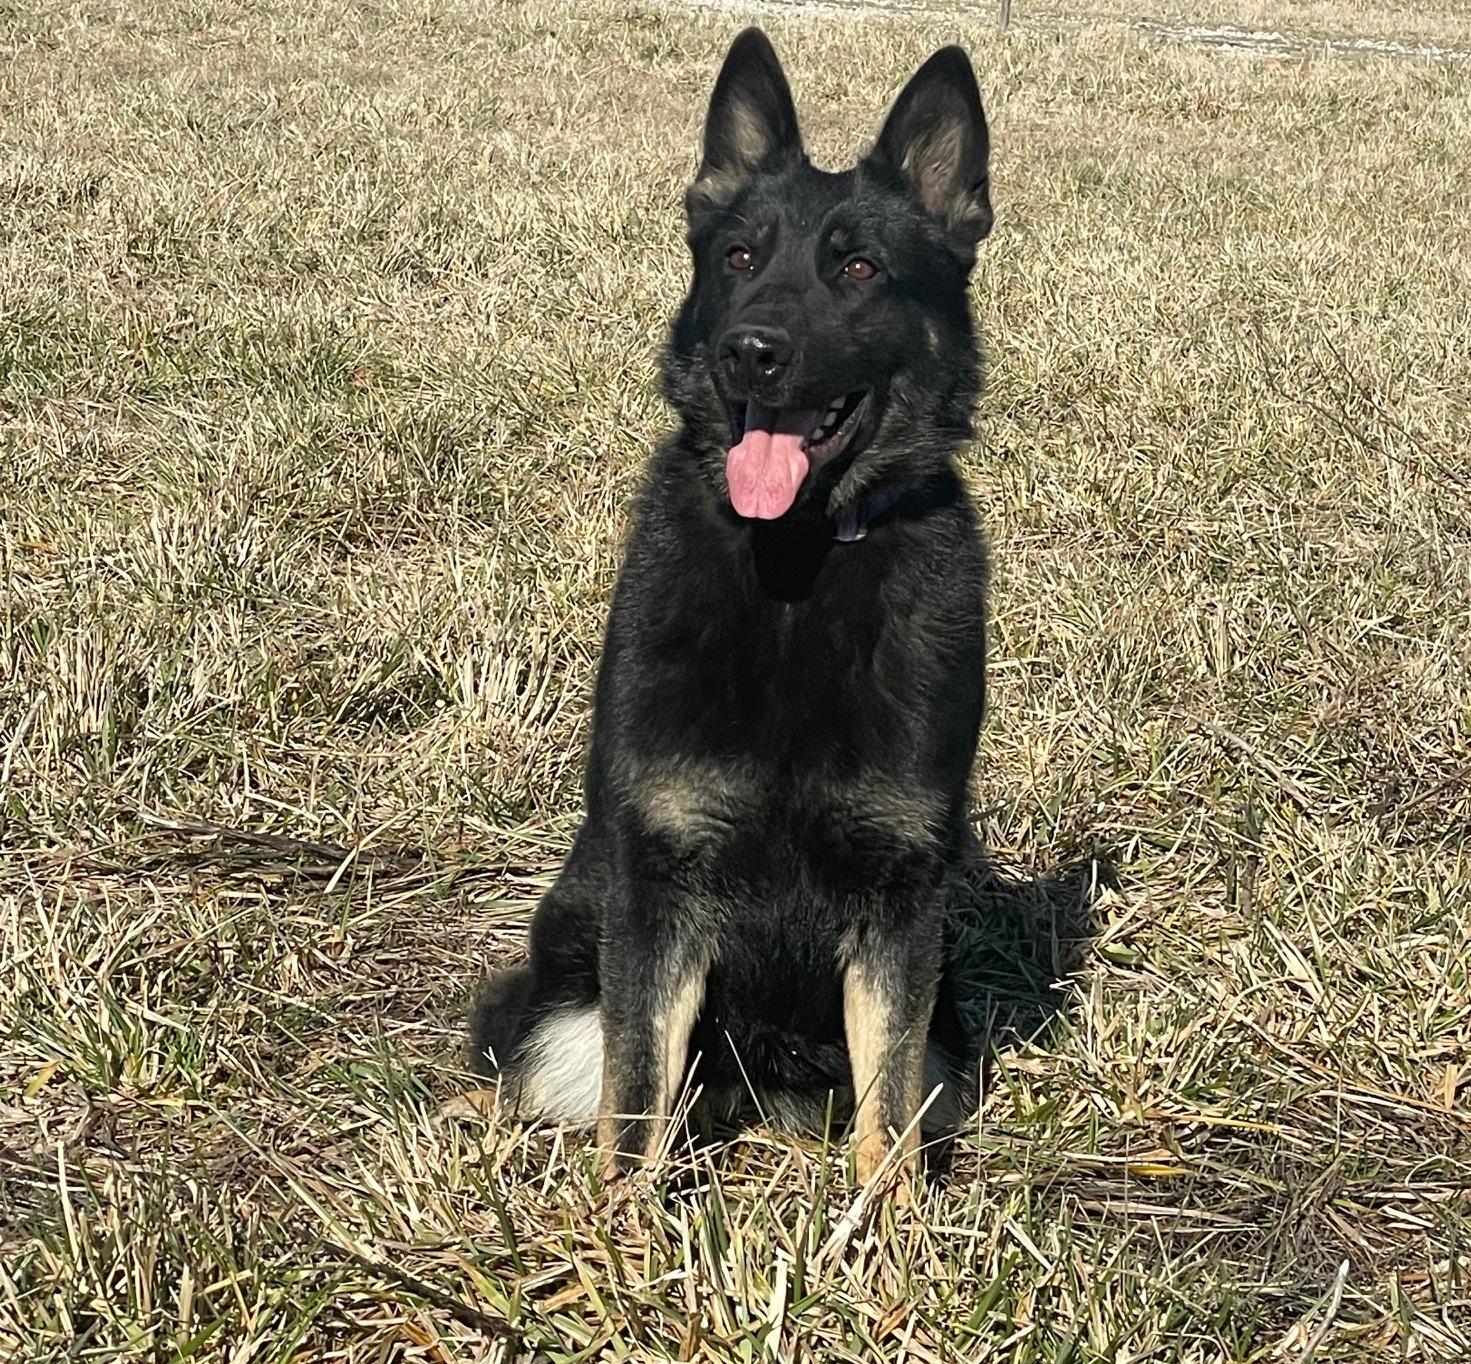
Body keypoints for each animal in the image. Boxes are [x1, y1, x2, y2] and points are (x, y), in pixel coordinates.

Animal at [469, 28, 994, 1187]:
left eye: (857, 267)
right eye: (740, 258)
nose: (748, 348)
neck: (794, 565)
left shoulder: (899, 909)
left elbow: (887, 1122)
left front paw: (887, 1231)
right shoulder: (657, 894)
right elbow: (632, 1108)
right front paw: (623, 1231)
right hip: (561, 999)